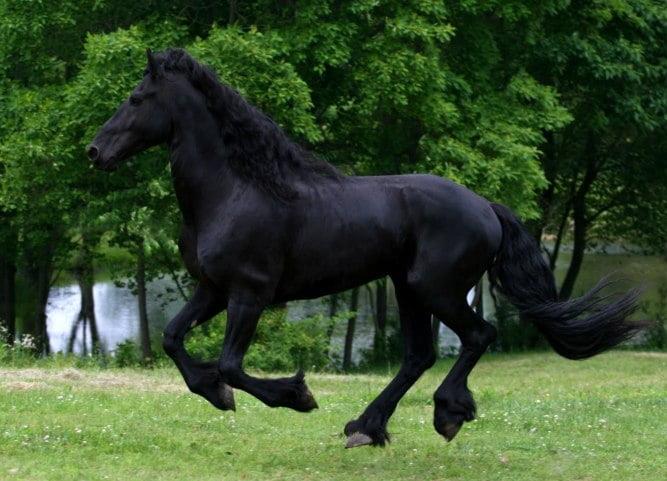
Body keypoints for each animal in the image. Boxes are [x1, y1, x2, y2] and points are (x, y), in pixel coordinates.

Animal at [88, 49, 644, 448]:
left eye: (136, 98)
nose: (95, 151)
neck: (235, 190)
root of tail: (485, 206)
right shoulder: (212, 290)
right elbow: (173, 340)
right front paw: (217, 395)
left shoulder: (249, 294)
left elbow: (230, 364)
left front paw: (296, 395)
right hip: (407, 289)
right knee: (419, 355)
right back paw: (366, 427)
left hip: (435, 289)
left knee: (478, 335)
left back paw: (447, 413)